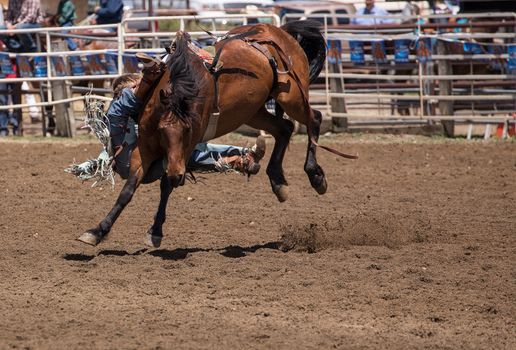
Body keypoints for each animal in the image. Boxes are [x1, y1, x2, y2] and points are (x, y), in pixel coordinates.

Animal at [78, 20, 354, 247]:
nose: (178, 172)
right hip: (251, 111)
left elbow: (166, 184)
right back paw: (277, 181)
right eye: (162, 131)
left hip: (292, 97)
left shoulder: (184, 150)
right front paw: (97, 231)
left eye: (189, 131)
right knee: (284, 129)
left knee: (314, 120)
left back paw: (316, 176)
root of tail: (282, 31)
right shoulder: (145, 147)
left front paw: (155, 231)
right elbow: (128, 190)